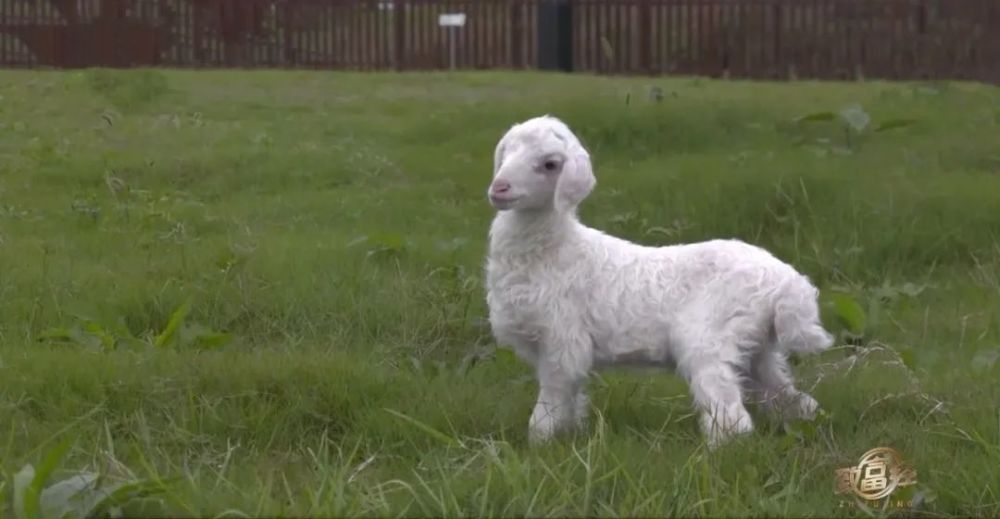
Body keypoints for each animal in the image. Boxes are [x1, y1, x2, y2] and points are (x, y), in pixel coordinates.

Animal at [484, 116, 836, 448]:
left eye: (550, 164)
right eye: (508, 151)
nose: (499, 188)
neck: (554, 249)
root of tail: (789, 282)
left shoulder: (563, 340)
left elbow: (551, 403)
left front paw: (539, 446)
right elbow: (570, 402)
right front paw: (568, 437)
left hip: (711, 335)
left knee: (729, 408)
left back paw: (719, 451)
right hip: (756, 345)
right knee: (787, 395)